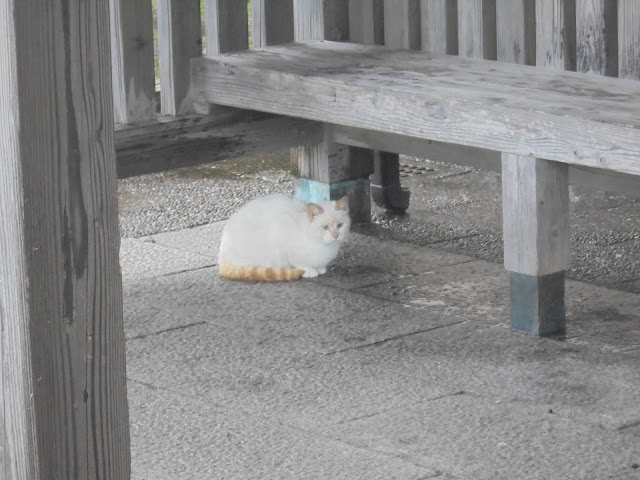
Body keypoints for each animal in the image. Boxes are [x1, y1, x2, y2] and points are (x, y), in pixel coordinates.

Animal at [219, 194, 350, 282]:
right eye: (325, 227)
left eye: (340, 225)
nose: (335, 236)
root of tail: (222, 257)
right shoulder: (283, 239)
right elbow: (299, 263)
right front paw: (310, 271)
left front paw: (320, 268)